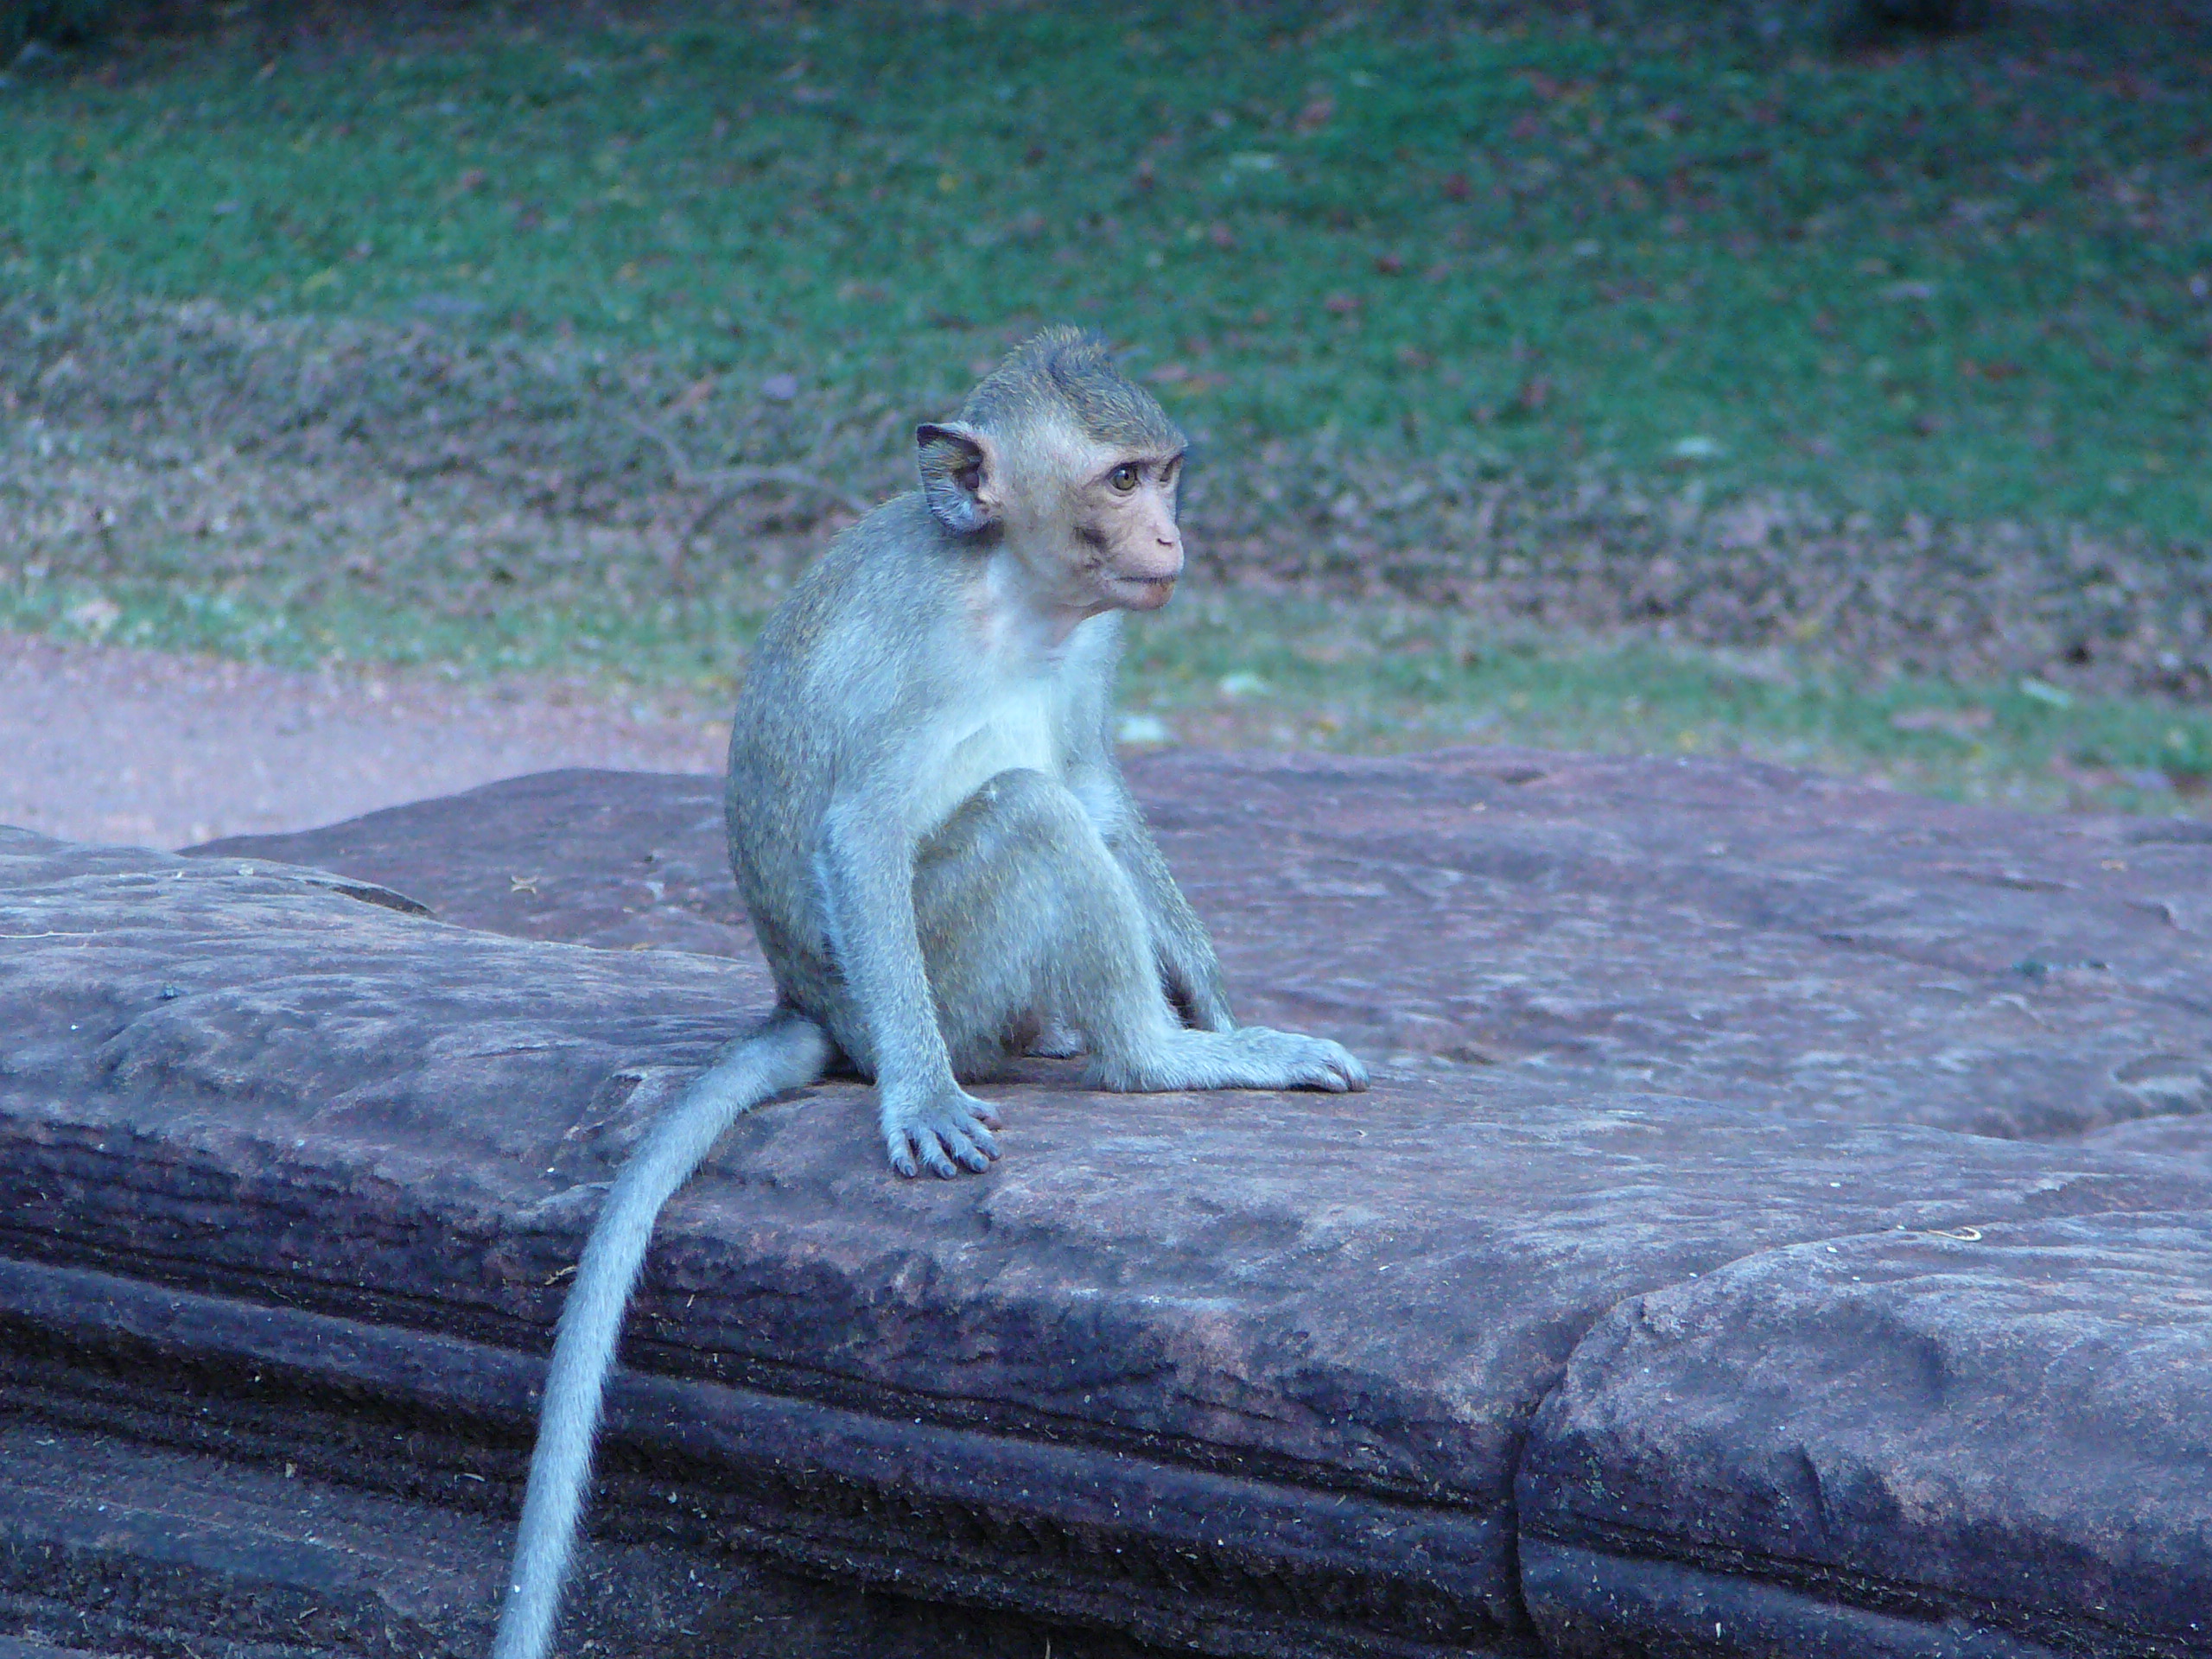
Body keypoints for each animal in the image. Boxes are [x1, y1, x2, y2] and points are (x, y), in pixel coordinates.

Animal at [493, 327, 1362, 1659]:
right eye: (1121, 482)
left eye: (1165, 476)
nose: (1172, 539)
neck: (1013, 591)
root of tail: (810, 1008)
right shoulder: (917, 657)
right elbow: (868, 830)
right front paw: (928, 1099)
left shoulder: (1095, 645)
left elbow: (1099, 787)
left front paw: (1220, 1003)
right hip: (944, 976)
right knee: (1028, 818)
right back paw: (1154, 1059)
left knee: (1056, 805)